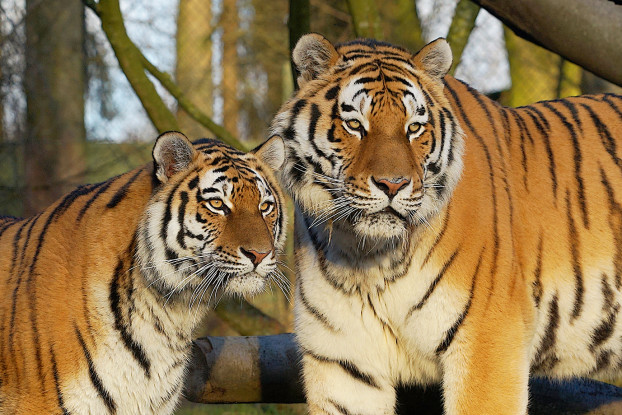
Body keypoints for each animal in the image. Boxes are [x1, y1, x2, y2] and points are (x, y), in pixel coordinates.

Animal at [272, 34, 622, 415]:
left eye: (414, 128)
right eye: (354, 125)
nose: (393, 184)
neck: (366, 255)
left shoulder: (488, 339)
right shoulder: (343, 361)